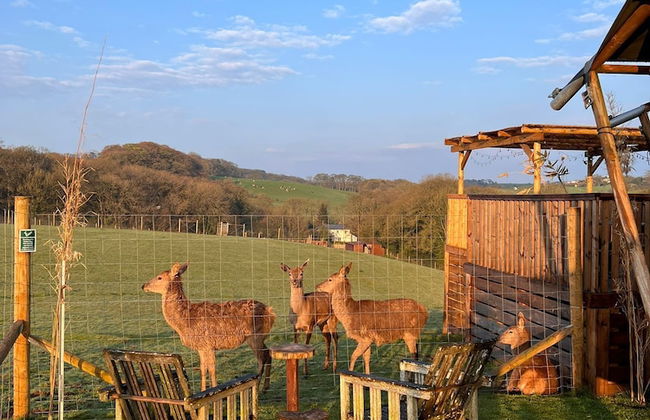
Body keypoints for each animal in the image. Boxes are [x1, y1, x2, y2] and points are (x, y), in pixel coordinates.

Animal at [142, 262, 275, 391]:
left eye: (159, 277)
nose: (143, 285)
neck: (185, 321)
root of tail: (270, 312)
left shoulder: (209, 344)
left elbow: (211, 369)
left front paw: (215, 390)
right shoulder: (201, 346)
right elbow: (203, 369)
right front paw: (203, 390)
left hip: (255, 336)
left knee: (261, 359)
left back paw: (259, 387)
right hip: (259, 337)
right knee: (268, 353)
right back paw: (265, 387)